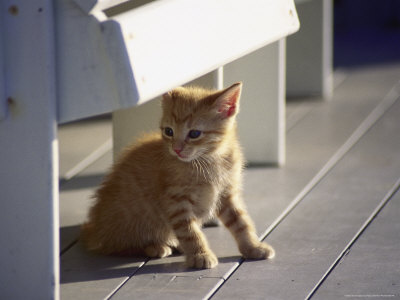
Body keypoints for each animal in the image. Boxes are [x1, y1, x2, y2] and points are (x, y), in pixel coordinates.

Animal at [81, 82, 276, 270]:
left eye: (194, 133)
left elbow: (241, 222)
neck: (208, 160)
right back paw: (156, 246)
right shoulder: (176, 201)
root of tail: (94, 230)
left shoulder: (227, 194)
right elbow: (189, 231)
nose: (176, 149)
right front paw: (200, 255)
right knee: (116, 246)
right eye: (169, 131)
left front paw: (253, 246)